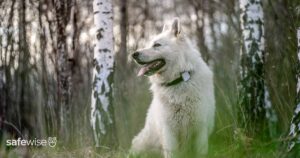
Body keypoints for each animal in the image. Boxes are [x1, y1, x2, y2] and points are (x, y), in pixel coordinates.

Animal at [130, 17, 214, 157]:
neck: (178, 81)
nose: (134, 54)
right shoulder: (169, 132)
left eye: (157, 45)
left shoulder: (200, 128)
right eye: (149, 44)